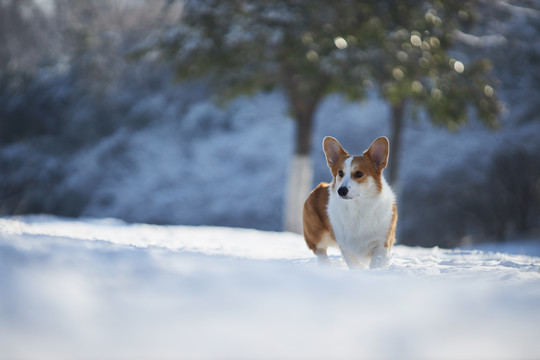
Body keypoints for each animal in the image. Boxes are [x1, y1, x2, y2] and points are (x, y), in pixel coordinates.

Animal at [304, 136, 396, 268]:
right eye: (340, 173)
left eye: (359, 173)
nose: (341, 191)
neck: (357, 208)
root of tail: (316, 189)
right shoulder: (345, 247)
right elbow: (354, 265)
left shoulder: (382, 242)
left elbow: (376, 263)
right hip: (317, 236)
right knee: (321, 252)